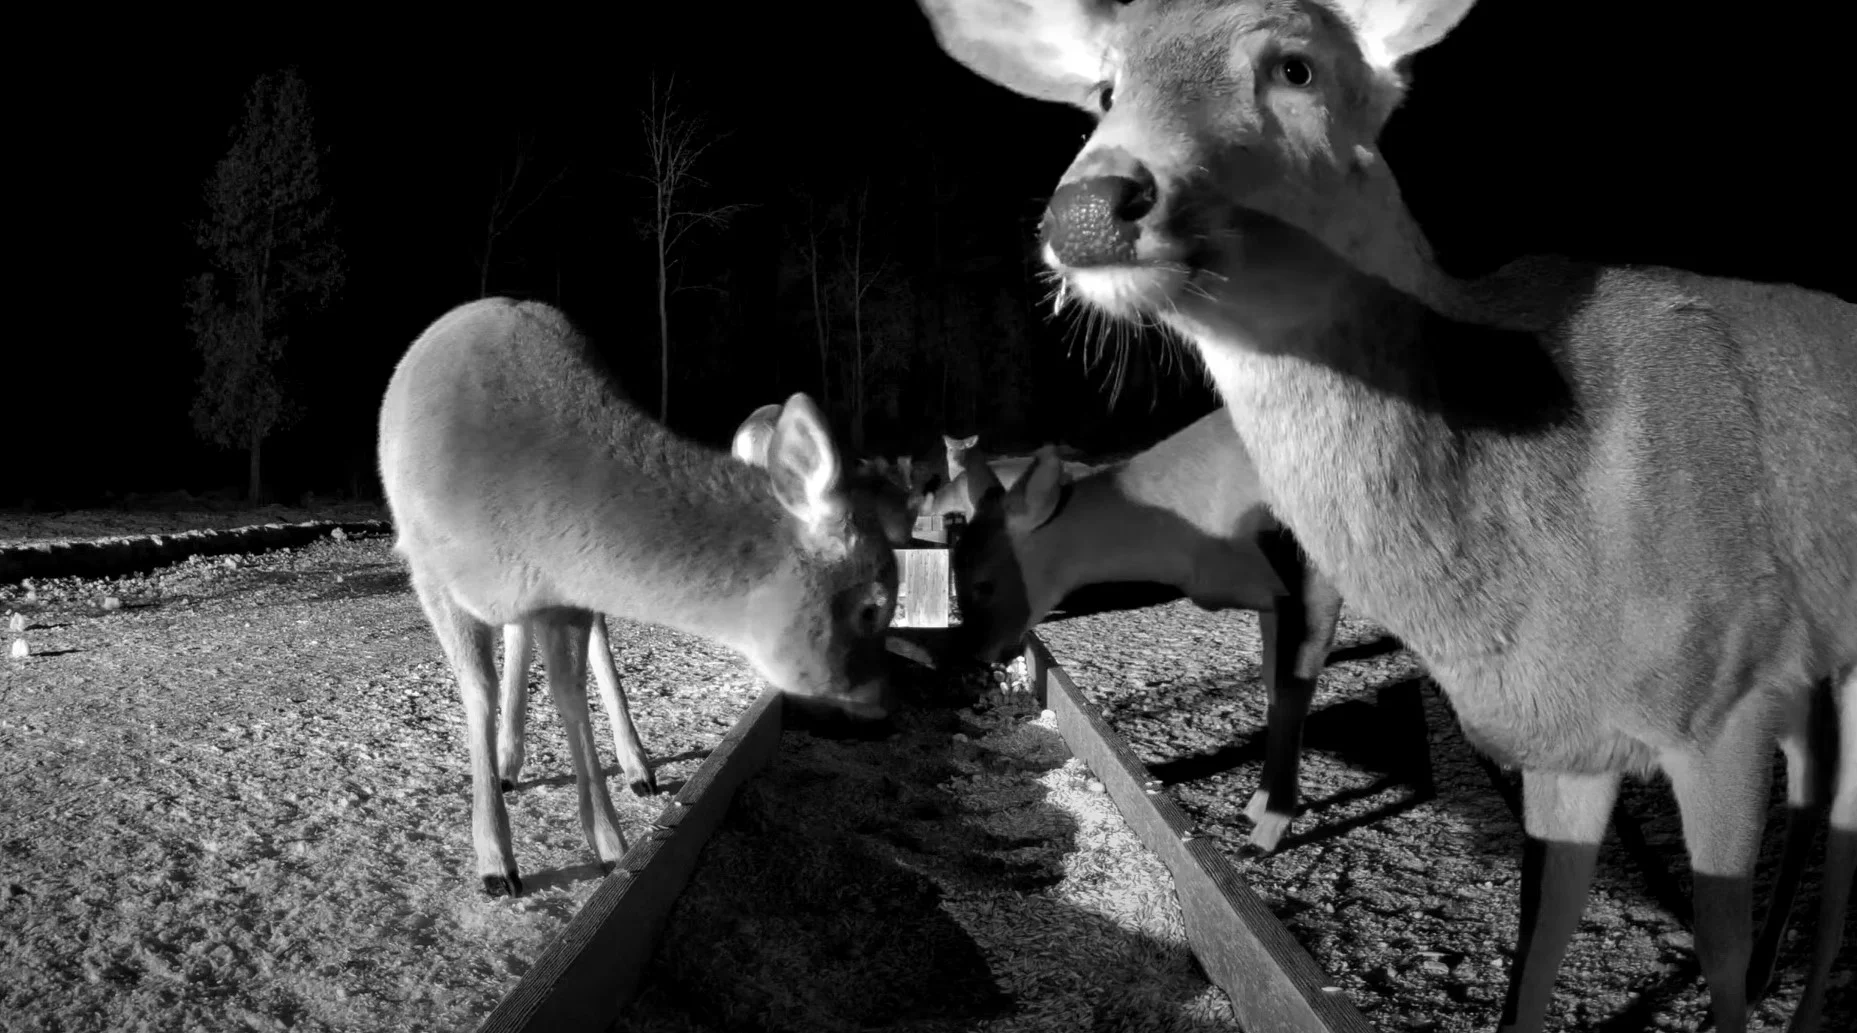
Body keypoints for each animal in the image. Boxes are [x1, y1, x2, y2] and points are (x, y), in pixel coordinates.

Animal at [378, 298, 899, 898]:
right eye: (873, 607)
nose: (884, 713)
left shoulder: (566, 591)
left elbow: (570, 691)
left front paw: (611, 847)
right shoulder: (431, 573)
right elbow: (478, 691)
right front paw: (496, 864)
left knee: (572, 643)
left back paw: (634, 768)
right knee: (517, 638)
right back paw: (510, 767)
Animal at [953, 411, 1344, 852]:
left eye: (985, 584)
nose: (978, 651)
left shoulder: (1314, 577)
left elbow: (1294, 691)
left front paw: (1268, 831)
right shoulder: (1272, 597)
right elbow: (1274, 685)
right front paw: (1255, 807)